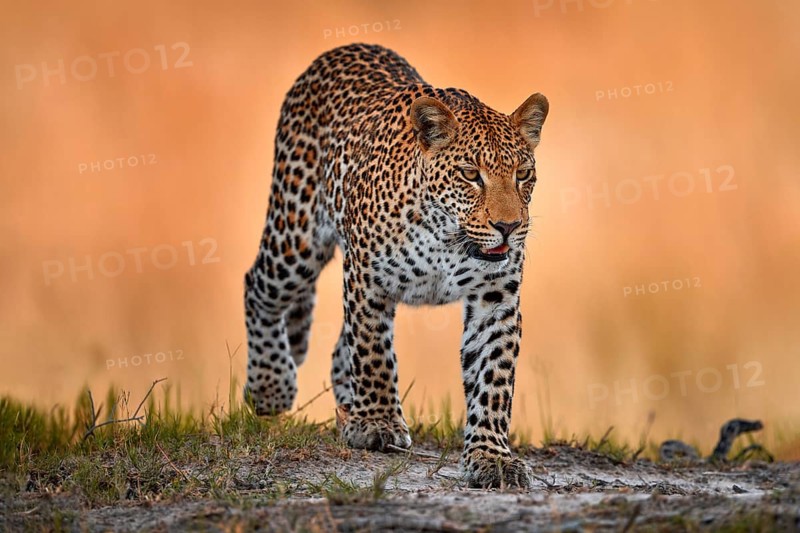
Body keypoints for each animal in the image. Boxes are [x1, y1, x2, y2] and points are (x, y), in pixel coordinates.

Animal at [244, 43, 549, 489]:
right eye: (470, 174)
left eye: (523, 174)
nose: (508, 226)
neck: (448, 238)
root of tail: (344, 48)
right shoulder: (366, 278)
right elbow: (373, 351)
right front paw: (378, 423)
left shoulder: (496, 299)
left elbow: (494, 377)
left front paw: (491, 457)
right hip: (294, 235)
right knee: (259, 287)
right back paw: (271, 386)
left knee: (339, 349)